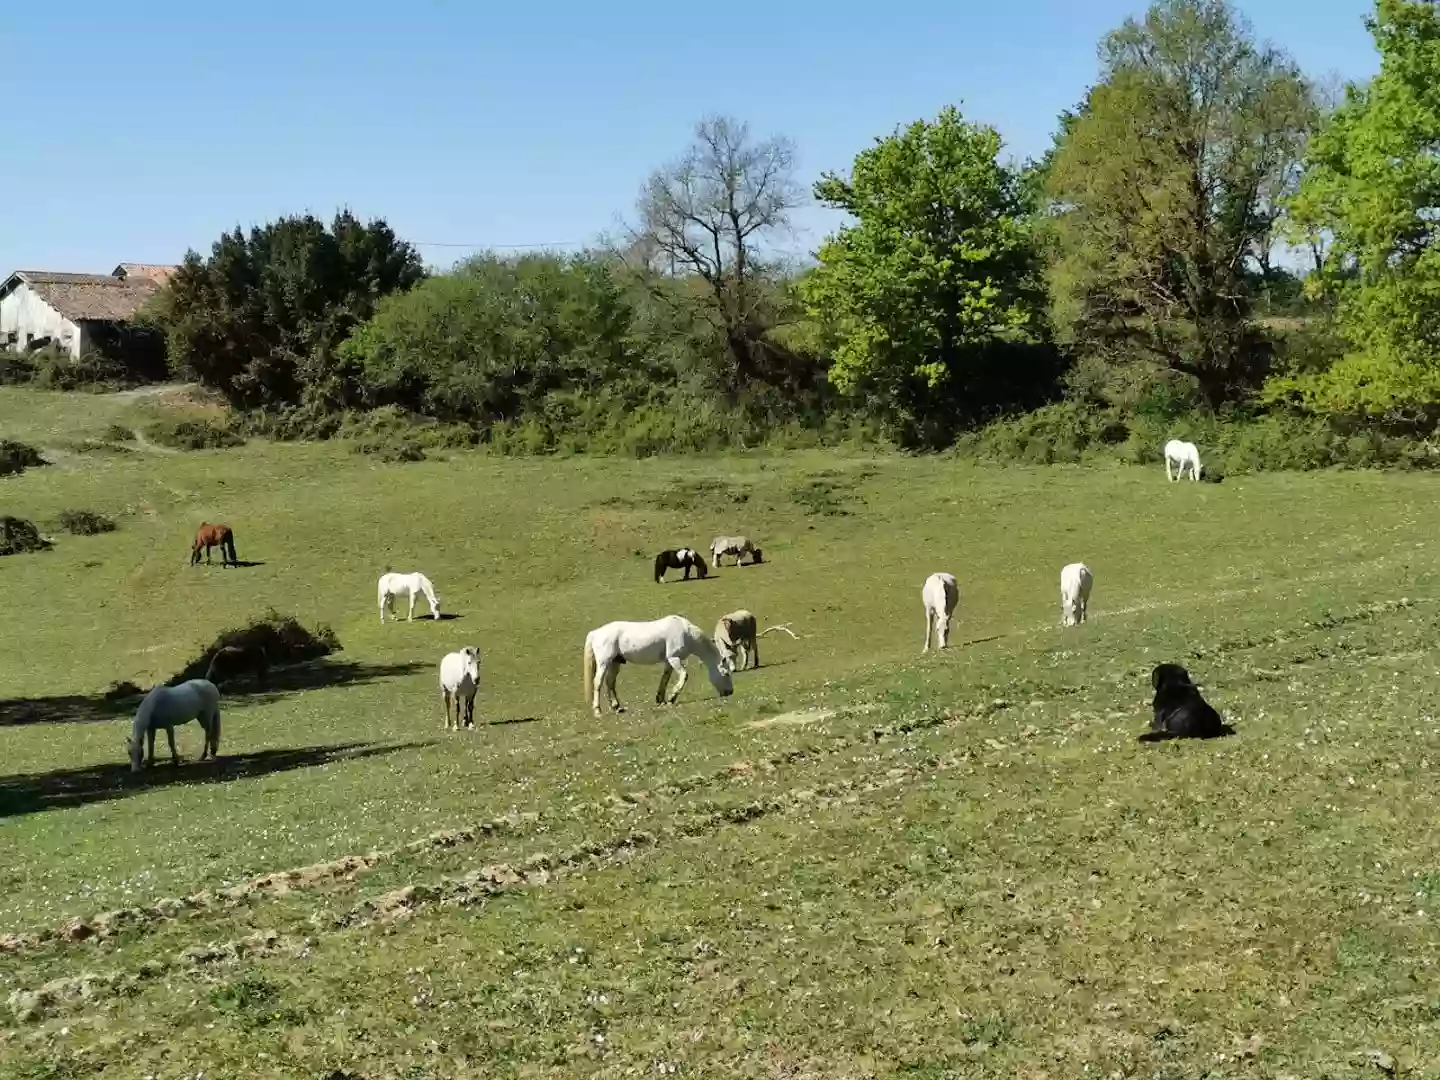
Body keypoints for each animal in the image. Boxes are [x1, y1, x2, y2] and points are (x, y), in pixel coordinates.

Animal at [578, 616, 731, 720]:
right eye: (726, 673)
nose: (730, 692)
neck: (685, 633)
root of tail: (595, 633)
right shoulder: (674, 658)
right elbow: (684, 676)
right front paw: (671, 698)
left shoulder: (669, 661)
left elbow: (665, 678)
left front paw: (661, 699)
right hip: (604, 662)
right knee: (598, 683)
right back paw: (598, 711)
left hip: (615, 663)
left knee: (610, 682)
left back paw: (617, 707)